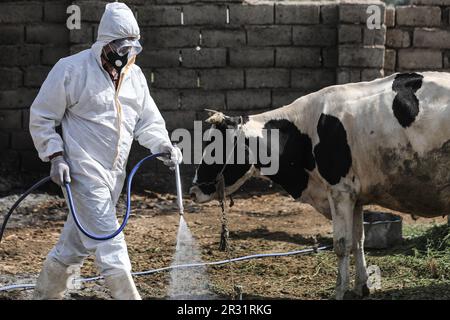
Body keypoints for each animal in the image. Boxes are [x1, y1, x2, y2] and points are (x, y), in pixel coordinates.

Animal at [192, 72, 450, 300]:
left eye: (214, 149)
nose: (193, 190)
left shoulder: (339, 191)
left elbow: (342, 244)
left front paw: (339, 291)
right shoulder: (355, 196)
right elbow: (359, 241)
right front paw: (361, 287)